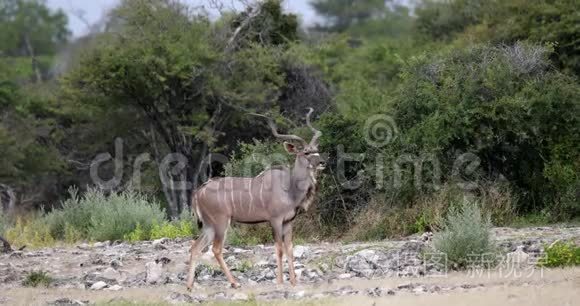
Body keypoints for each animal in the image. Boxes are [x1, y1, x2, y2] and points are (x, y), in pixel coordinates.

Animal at [186, 107, 324, 290]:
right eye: (307, 152)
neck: (289, 187)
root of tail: (198, 192)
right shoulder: (275, 220)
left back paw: (189, 286)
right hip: (221, 223)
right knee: (216, 249)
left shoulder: (289, 222)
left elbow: (290, 249)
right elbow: (279, 249)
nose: (322, 162)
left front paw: (294, 282)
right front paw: (280, 281)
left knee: (195, 248)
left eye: (317, 150)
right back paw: (234, 283)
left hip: (209, 226)